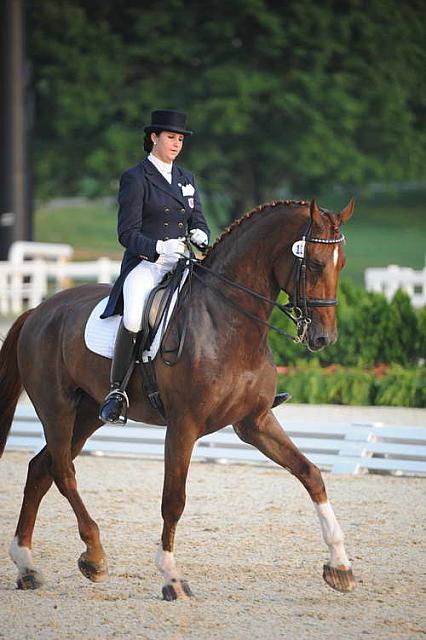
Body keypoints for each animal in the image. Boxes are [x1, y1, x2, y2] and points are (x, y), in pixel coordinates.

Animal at [0, 196, 356, 600]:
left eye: (341, 264)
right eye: (313, 263)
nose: (323, 339)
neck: (227, 321)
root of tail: (37, 310)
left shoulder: (255, 422)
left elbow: (310, 474)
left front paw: (340, 566)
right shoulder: (184, 425)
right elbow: (174, 499)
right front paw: (171, 576)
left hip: (87, 415)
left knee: (40, 469)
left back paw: (27, 565)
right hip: (56, 408)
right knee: (63, 472)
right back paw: (94, 555)